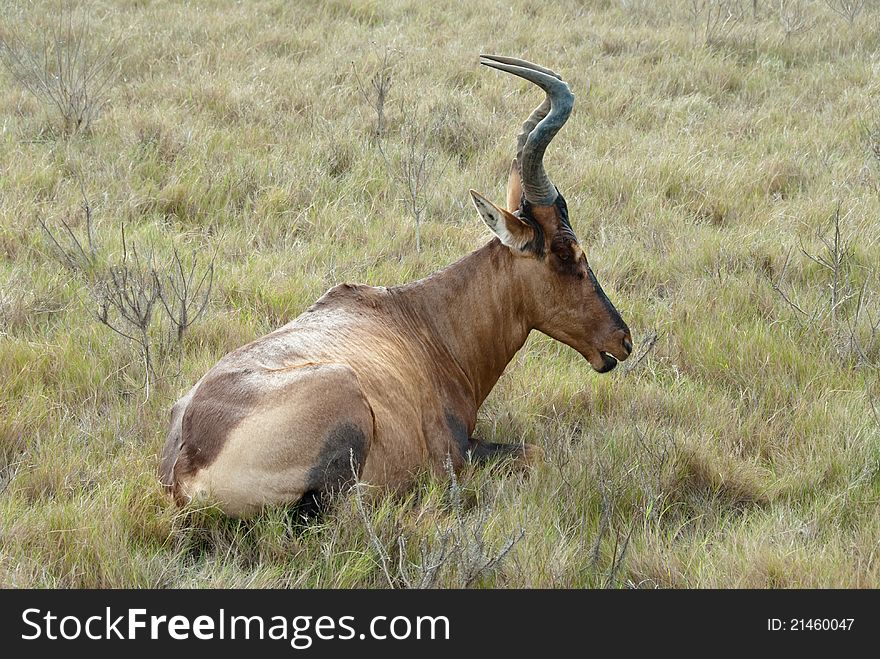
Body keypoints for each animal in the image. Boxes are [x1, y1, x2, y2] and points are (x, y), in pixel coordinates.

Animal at [160, 56, 632, 520]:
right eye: (566, 252)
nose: (623, 340)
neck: (420, 322)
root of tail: (186, 468)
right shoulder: (457, 455)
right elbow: (534, 452)